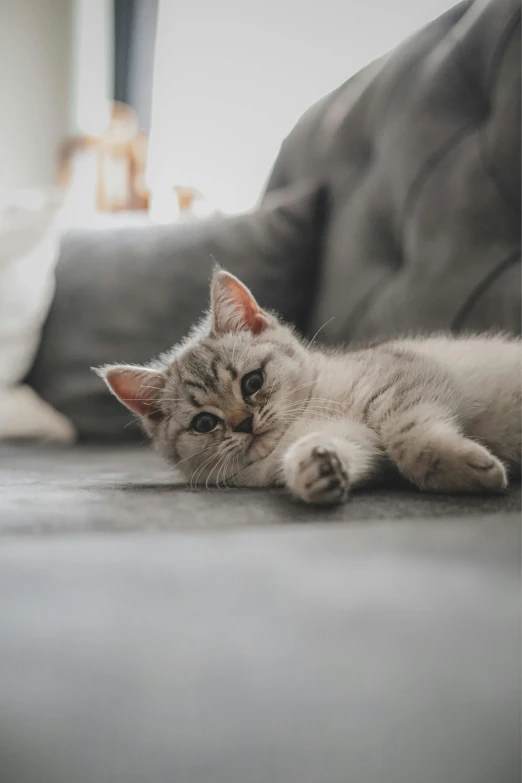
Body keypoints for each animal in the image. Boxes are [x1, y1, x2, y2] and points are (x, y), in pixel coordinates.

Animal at [94, 268, 520, 502]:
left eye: (252, 382)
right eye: (204, 423)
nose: (244, 423)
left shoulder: (401, 379)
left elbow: (407, 437)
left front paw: (459, 467)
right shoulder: (356, 440)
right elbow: (349, 451)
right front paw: (312, 468)